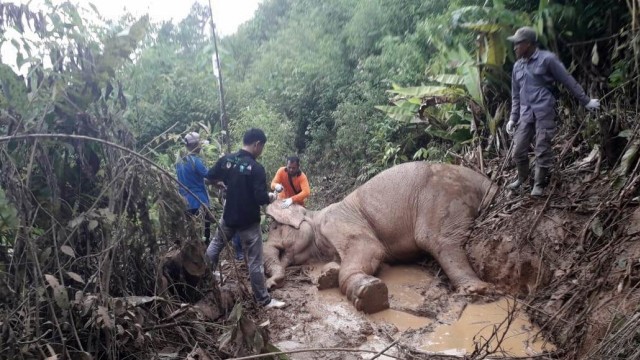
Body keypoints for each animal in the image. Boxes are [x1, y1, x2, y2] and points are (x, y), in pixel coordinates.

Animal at [262, 162, 498, 314]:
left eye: (273, 226)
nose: (270, 286)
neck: (315, 216)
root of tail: (487, 181)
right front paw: (328, 274)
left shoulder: (338, 222)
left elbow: (371, 248)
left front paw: (368, 294)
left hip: (444, 195)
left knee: (437, 240)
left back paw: (475, 289)